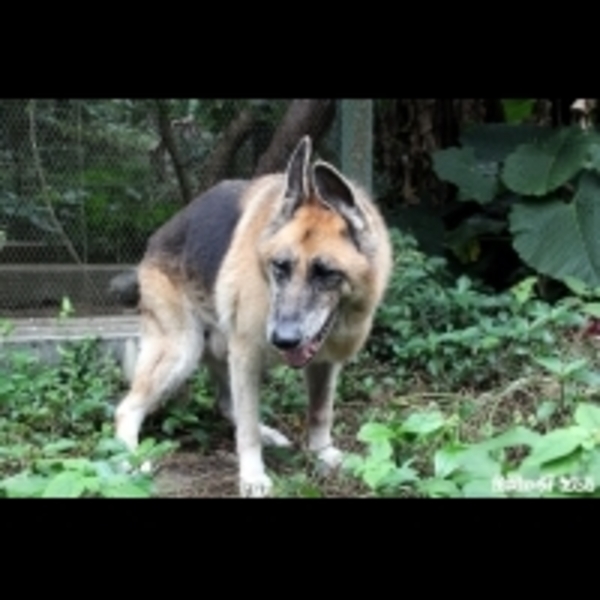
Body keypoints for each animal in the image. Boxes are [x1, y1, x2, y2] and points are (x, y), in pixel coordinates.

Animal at [115, 136, 394, 496]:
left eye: (326, 273)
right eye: (280, 266)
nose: (283, 339)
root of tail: (154, 240)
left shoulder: (323, 363)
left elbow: (320, 412)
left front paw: (321, 452)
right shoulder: (247, 356)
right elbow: (245, 431)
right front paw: (252, 476)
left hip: (218, 352)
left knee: (225, 403)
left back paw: (269, 433)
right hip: (182, 352)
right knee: (127, 409)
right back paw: (130, 461)